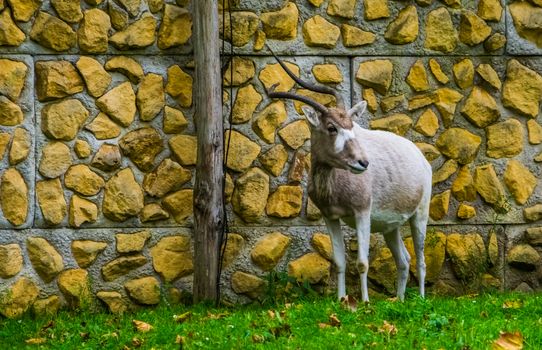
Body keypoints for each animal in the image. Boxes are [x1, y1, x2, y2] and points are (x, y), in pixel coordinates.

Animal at [266, 51, 434, 300]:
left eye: (351, 125)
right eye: (331, 127)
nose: (363, 162)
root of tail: (421, 159)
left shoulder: (362, 212)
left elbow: (362, 262)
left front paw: (364, 302)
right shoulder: (330, 217)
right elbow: (338, 262)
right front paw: (341, 300)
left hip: (419, 215)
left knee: (421, 261)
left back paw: (421, 299)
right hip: (391, 227)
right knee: (404, 260)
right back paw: (400, 300)